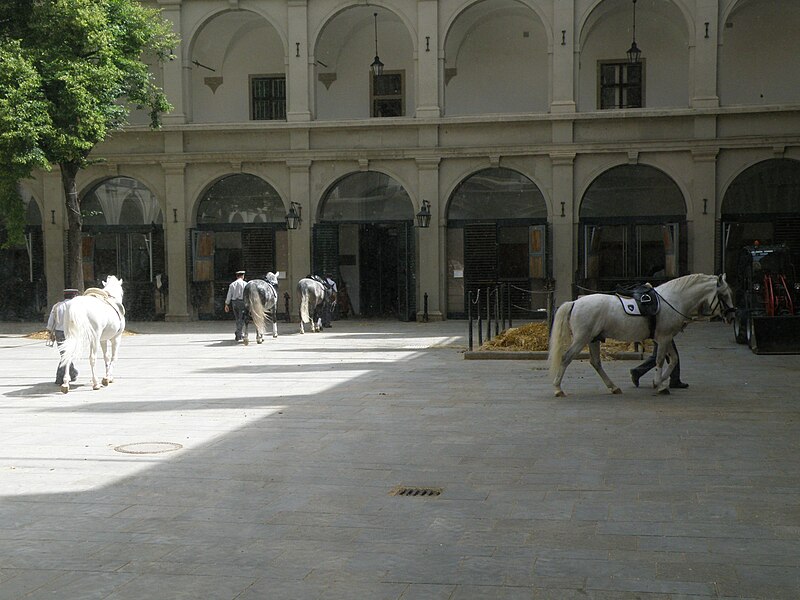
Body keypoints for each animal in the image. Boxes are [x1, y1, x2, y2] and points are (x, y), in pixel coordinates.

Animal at [548, 274, 736, 396]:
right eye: (723, 295)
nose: (732, 317)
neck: (673, 299)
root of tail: (575, 302)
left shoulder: (666, 338)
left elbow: (673, 359)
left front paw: (659, 382)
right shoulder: (664, 338)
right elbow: (660, 360)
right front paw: (660, 386)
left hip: (594, 339)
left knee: (596, 363)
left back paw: (614, 387)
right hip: (582, 339)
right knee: (566, 358)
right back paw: (557, 389)